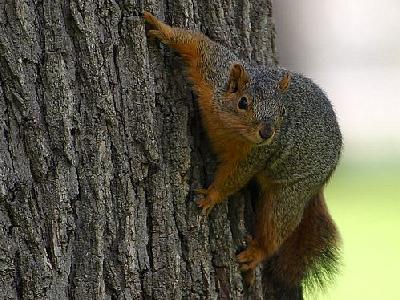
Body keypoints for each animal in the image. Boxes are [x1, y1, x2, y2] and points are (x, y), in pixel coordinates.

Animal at [145, 11, 342, 296]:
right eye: (243, 102)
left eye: (282, 111)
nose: (267, 132)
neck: (229, 128)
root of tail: (325, 178)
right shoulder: (215, 71)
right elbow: (199, 44)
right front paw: (161, 28)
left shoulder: (256, 155)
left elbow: (235, 177)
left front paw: (211, 196)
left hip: (291, 192)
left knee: (278, 226)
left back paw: (256, 253)